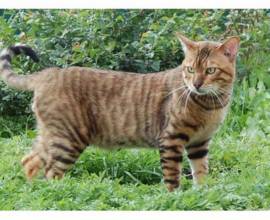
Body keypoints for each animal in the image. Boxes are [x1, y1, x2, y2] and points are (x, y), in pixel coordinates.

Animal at [0, 34, 240, 191]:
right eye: (190, 69)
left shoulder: (200, 143)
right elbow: (172, 177)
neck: (211, 104)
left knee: (29, 161)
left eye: (210, 70)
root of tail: (47, 73)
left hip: (51, 135)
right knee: (52, 173)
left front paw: (203, 195)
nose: (196, 84)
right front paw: (176, 198)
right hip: (68, 138)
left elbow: (201, 173)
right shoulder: (171, 139)